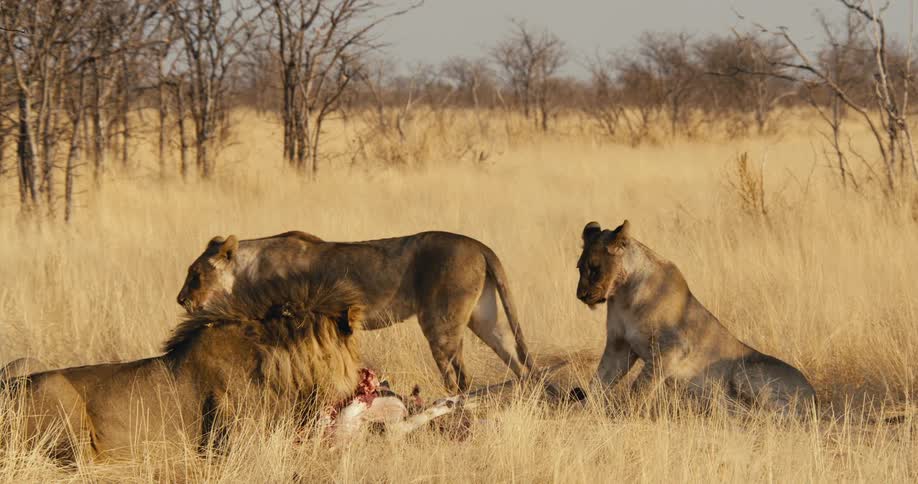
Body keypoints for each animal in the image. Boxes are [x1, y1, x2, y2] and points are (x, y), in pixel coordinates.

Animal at [176, 231, 533, 392]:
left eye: (195, 275)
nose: (180, 300)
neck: (246, 272)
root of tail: (480, 245)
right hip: (484, 318)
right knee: (515, 358)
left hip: (440, 322)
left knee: (458, 376)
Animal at [575, 220, 816, 417]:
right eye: (579, 267)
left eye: (595, 268)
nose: (581, 295)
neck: (623, 294)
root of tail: (814, 396)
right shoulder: (620, 346)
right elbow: (598, 381)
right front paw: (585, 413)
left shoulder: (673, 347)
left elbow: (641, 385)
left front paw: (629, 415)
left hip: (745, 371)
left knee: (784, 416)